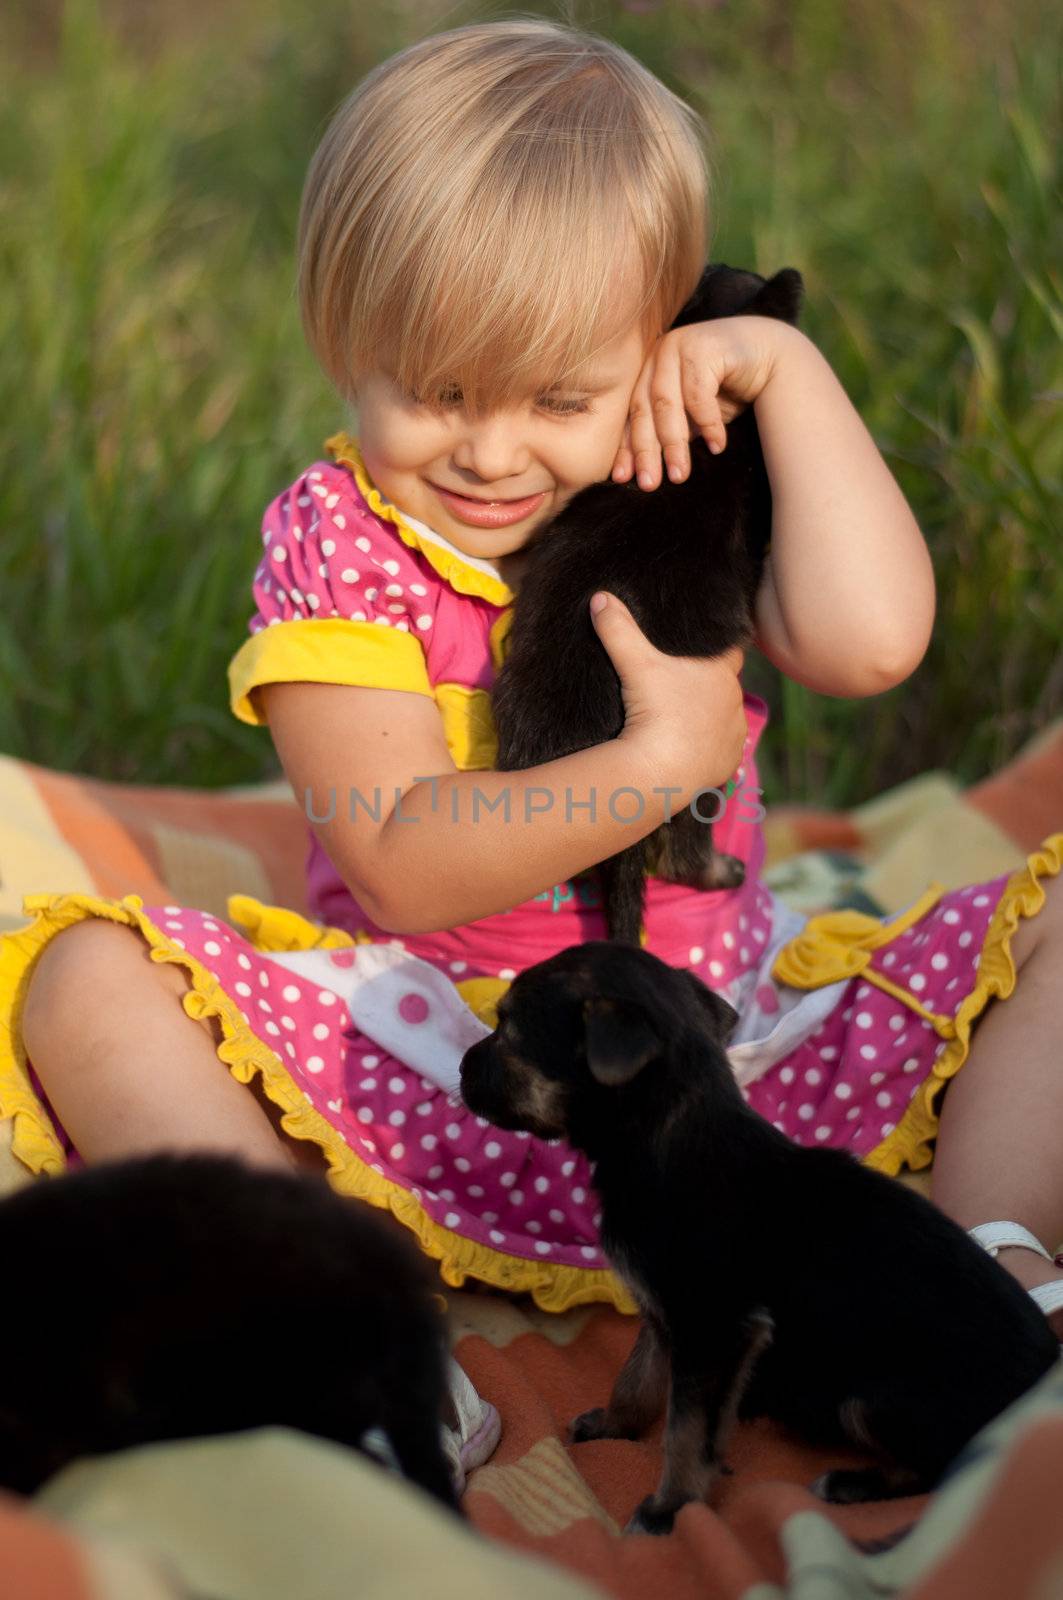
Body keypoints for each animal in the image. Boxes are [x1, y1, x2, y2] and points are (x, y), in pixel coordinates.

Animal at [461, 940, 1056, 1529]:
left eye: (508, 1030)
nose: (462, 1066)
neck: (667, 1137)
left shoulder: (713, 1328)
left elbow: (686, 1431)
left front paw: (668, 1508)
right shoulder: (665, 1310)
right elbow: (636, 1378)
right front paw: (615, 1426)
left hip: (877, 1398)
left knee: (950, 1469)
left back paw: (852, 1483)